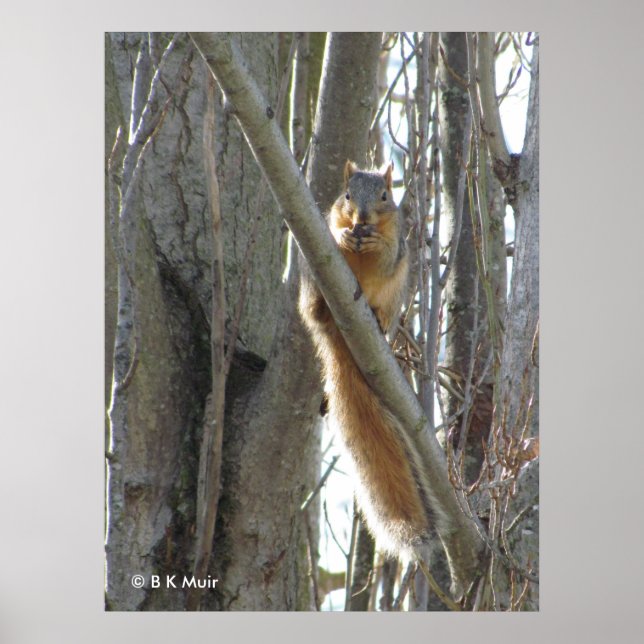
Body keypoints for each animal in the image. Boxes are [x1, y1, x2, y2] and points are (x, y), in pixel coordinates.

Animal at [299, 161, 439, 557]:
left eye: (385, 195)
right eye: (347, 195)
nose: (361, 218)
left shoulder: (397, 246)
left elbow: (387, 255)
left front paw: (375, 242)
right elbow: (335, 234)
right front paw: (344, 237)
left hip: (395, 298)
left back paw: (376, 318)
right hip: (310, 284)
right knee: (314, 309)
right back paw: (321, 309)